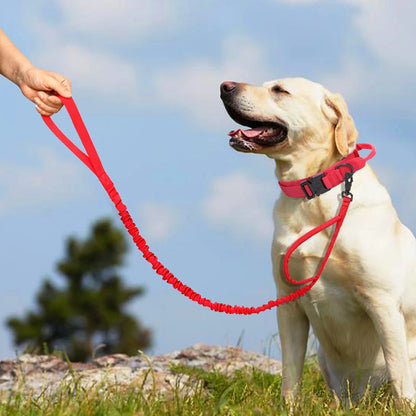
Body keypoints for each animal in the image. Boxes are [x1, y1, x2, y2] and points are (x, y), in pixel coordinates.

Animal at [221, 77, 416, 404]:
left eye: (280, 90)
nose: (224, 86)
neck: (311, 194)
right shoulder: (288, 301)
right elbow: (290, 376)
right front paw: (288, 407)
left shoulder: (382, 302)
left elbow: (399, 376)